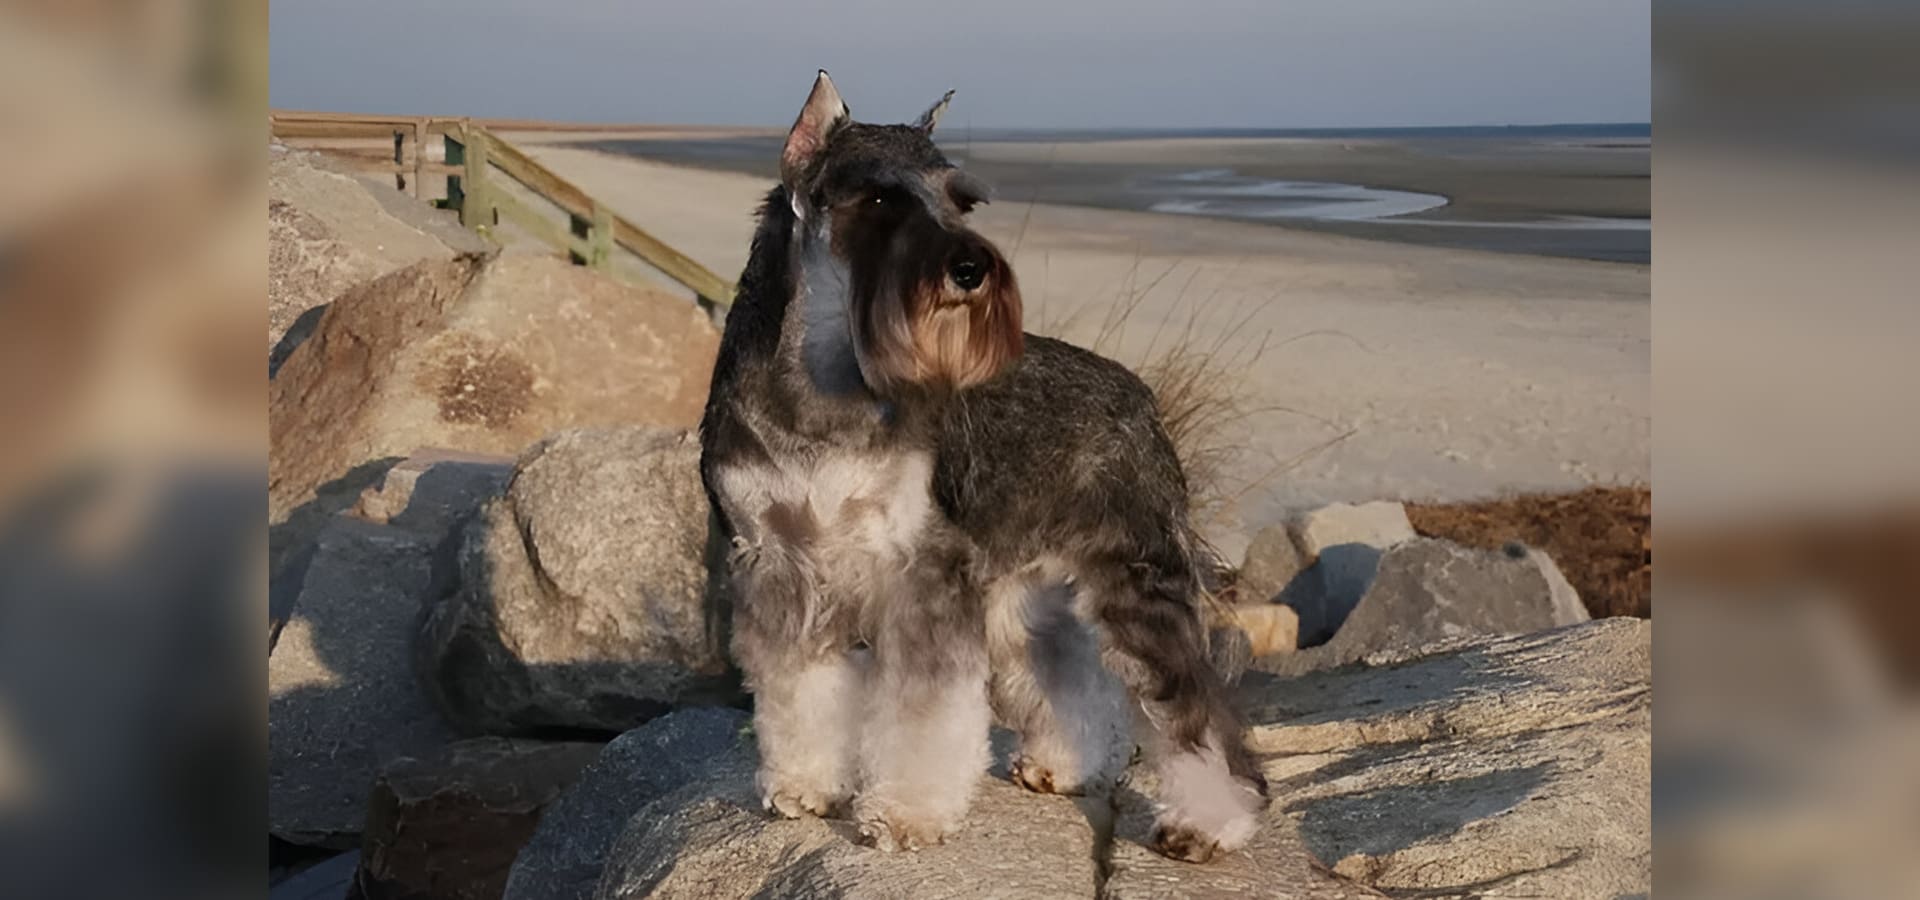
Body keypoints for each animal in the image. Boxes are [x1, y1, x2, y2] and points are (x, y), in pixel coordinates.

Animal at [698, 71, 1267, 863]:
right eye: (880, 199)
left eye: (959, 200)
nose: (971, 268)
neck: (824, 384)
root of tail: (1140, 392)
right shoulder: (779, 565)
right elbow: (797, 687)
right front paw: (806, 784)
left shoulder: (924, 574)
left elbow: (923, 711)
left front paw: (906, 813)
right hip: (1028, 594)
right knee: (1071, 674)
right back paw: (1066, 766)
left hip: (1138, 584)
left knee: (1194, 707)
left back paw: (1211, 824)